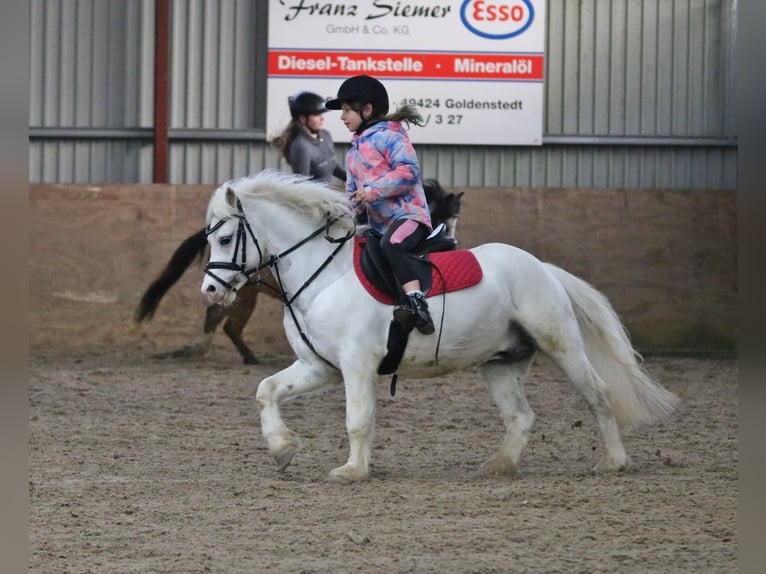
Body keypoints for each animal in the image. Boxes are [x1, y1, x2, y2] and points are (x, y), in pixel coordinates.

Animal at [135, 179, 464, 364]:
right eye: (224, 240)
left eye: (455, 221)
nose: (452, 242)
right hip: (242, 290)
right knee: (222, 321)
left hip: (238, 289)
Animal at [201, 171, 680, 486]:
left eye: (224, 239)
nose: (210, 290)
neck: (325, 275)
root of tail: (542, 268)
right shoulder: (320, 366)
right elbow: (266, 391)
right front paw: (282, 449)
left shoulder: (356, 365)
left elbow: (357, 418)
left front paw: (352, 471)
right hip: (501, 362)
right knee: (520, 416)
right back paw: (499, 467)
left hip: (561, 345)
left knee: (598, 394)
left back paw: (614, 462)